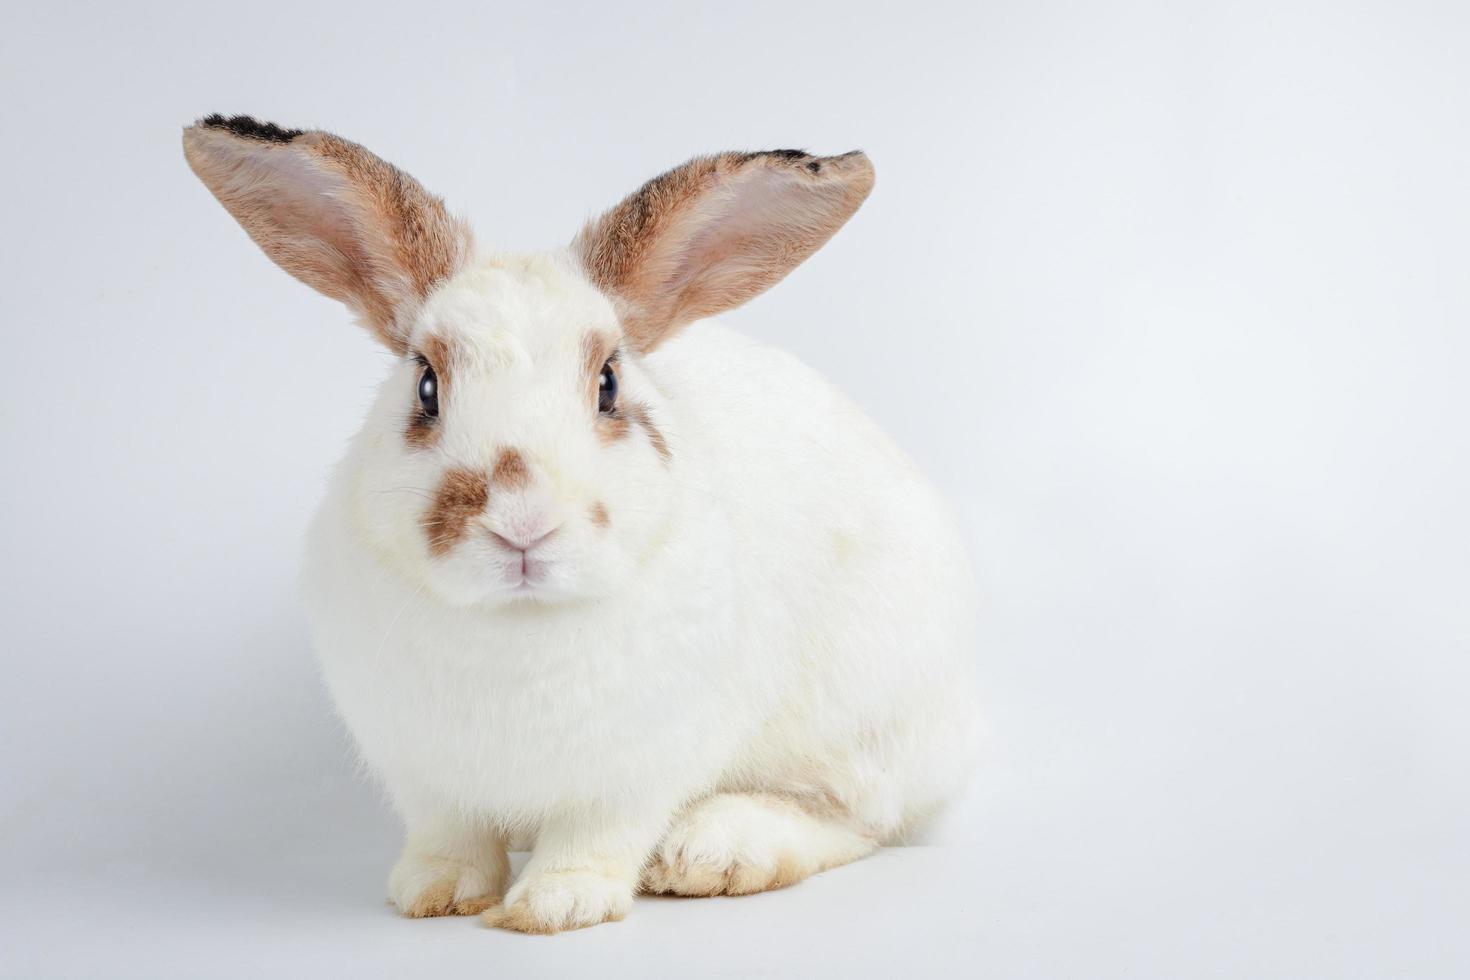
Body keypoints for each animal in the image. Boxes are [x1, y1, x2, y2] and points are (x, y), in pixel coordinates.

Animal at [189, 115, 981, 934]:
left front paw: (555, 905)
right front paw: (436, 893)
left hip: (866, 732)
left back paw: (713, 852)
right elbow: (450, 835)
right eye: (427, 385)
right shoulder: (426, 777)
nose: (522, 521)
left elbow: (594, 837)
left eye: (607, 384)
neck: (517, 624)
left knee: (858, 822)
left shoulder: (630, 775)